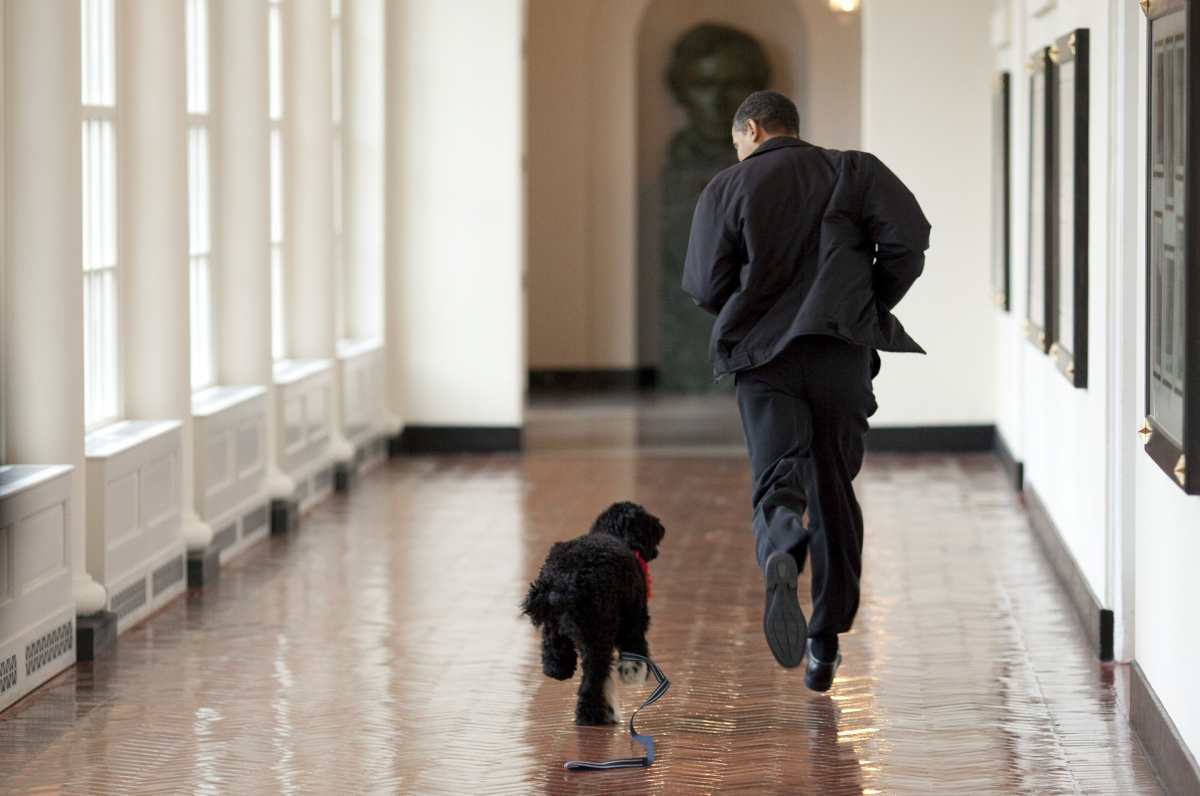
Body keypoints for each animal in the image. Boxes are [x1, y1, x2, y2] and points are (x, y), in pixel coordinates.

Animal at [518, 504, 667, 729]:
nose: (661, 527)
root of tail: (564, 581)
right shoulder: (634, 620)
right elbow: (635, 653)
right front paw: (633, 673)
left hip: (557, 629)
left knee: (555, 658)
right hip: (598, 635)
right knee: (591, 681)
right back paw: (590, 716)